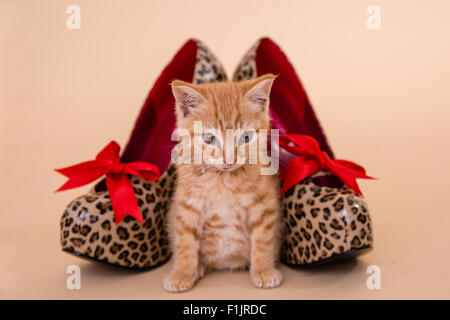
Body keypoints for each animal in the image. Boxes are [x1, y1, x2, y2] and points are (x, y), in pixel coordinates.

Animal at [163, 74, 282, 292]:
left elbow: (263, 239)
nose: (230, 159)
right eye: (210, 138)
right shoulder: (186, 206)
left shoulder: (265, 205)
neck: (223, 180)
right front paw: (182, 273)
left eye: (246, 137)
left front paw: (264, 271)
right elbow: (185, 241)